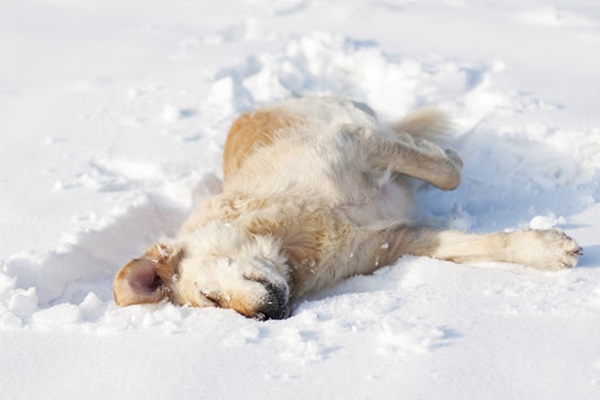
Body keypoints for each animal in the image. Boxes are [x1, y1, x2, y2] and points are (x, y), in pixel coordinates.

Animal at [111, 96, 580, 318]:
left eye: (209, 297)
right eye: (217, 307)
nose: (264, 316)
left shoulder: (354, 141)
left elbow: (448, 173)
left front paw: (448, 157)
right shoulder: (401, 240)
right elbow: (477, 245)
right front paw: (546, 249)